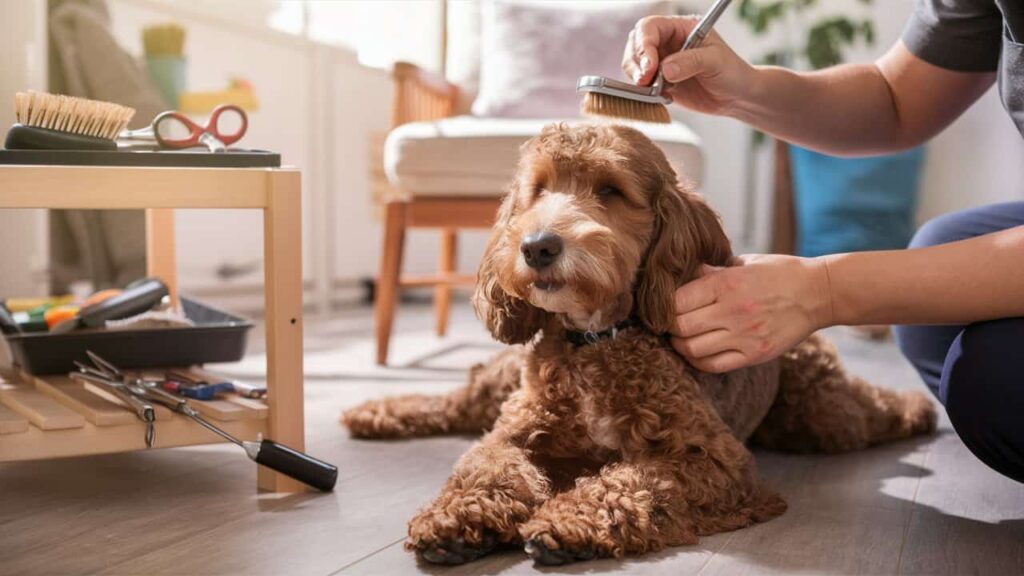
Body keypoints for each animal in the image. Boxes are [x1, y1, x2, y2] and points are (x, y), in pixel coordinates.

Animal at [342, 121, 937, 565]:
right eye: (539, 189)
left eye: (610, 190)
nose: (537, 246)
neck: (592, 341)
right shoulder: (514, 432)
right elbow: (488, 462)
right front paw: (460, 516)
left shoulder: (710, 458)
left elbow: (638, 480)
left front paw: (569, 519)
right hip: (502, 383)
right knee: (455, 400)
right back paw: (373, 411)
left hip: (820, 410)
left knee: (868, 409)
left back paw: (918, 408)